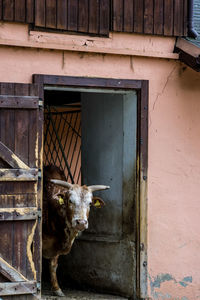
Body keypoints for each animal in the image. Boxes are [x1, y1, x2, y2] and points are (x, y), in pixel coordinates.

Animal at [41, 165, 109, 296]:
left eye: (90, 203)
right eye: (70, 201)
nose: (81, 222)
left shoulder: (58, 245)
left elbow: (53, 265)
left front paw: (57, 289)